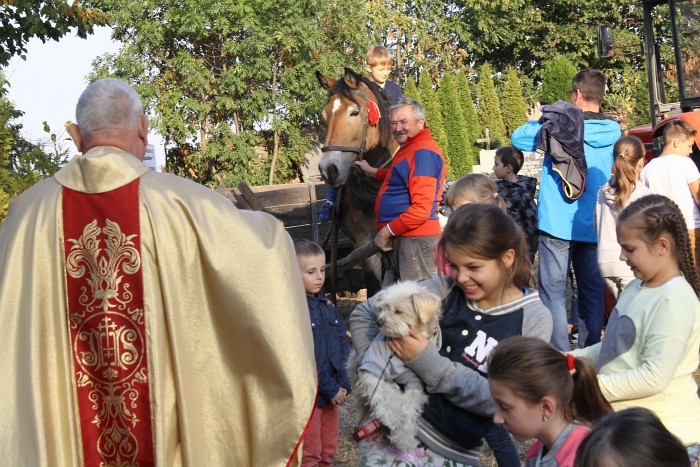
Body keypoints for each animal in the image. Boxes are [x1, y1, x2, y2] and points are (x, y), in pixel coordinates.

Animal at [350, 280, 442, 452]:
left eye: (398, 311)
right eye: (382, 309)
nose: (379, 322)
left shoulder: (415, 383)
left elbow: (409, 408)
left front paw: (403, 438)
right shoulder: (372, 370)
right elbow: (386, 395)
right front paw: (394, 418)